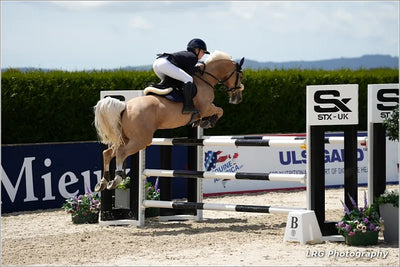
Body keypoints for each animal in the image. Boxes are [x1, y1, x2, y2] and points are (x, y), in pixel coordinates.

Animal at [93, 50, 244, 193]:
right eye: (240, 76)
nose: (238, 98)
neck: (205, 79)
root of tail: (125, 106)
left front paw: (200, 122)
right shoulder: (206, 107)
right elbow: (220, 110)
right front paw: (209, 121)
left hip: (126, 138)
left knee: (108, 152)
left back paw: (103, 182)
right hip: (141, 140)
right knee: (121, 152)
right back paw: (116, 179)